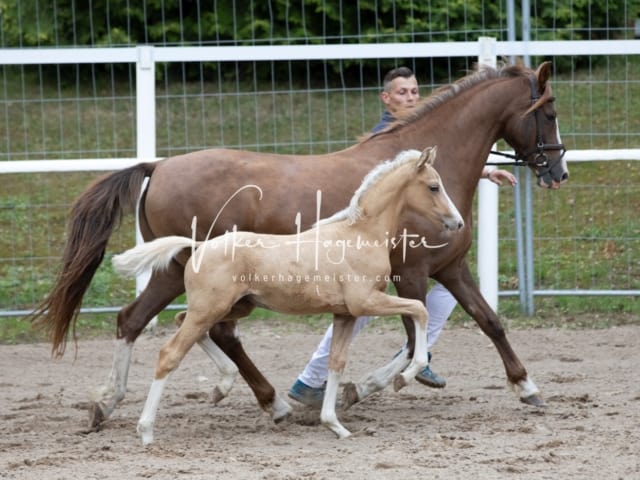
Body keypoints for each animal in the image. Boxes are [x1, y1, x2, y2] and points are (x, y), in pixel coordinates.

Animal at [115, 145, 462, 442]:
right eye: (434, 187)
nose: (457, 222)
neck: (360, 235)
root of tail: (200, 246)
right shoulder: (365, 302)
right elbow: (419, 309)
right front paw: (405, 377)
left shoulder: (345, 313)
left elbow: (337, 362)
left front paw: (335, 425)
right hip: (210, 308)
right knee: (170, 353)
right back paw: (146, 431)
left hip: (230, 307)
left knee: (186, 323)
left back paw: (223, 385)